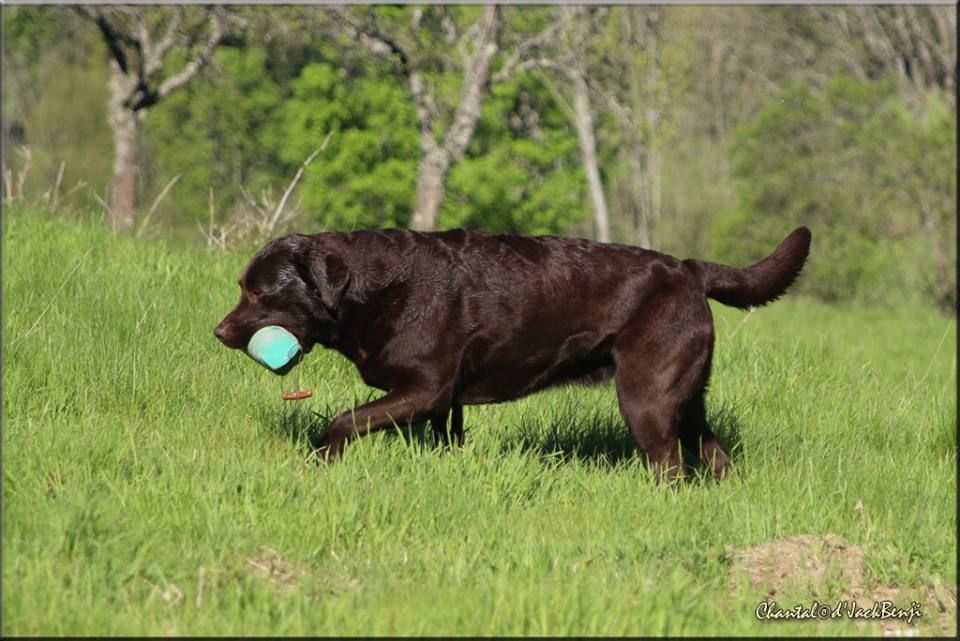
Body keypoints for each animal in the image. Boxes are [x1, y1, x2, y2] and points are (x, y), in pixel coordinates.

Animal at [216, 225, 808, 480]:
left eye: (260, 294)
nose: (219, 331)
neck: (378, 287)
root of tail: (688, 268)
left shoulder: (424, 389)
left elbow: (343, 420)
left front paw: (319, 464)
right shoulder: (444, 403)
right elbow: (444, 443)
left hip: (647, 399)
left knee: (669, 464)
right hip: (686, 399)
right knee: (713, 451)